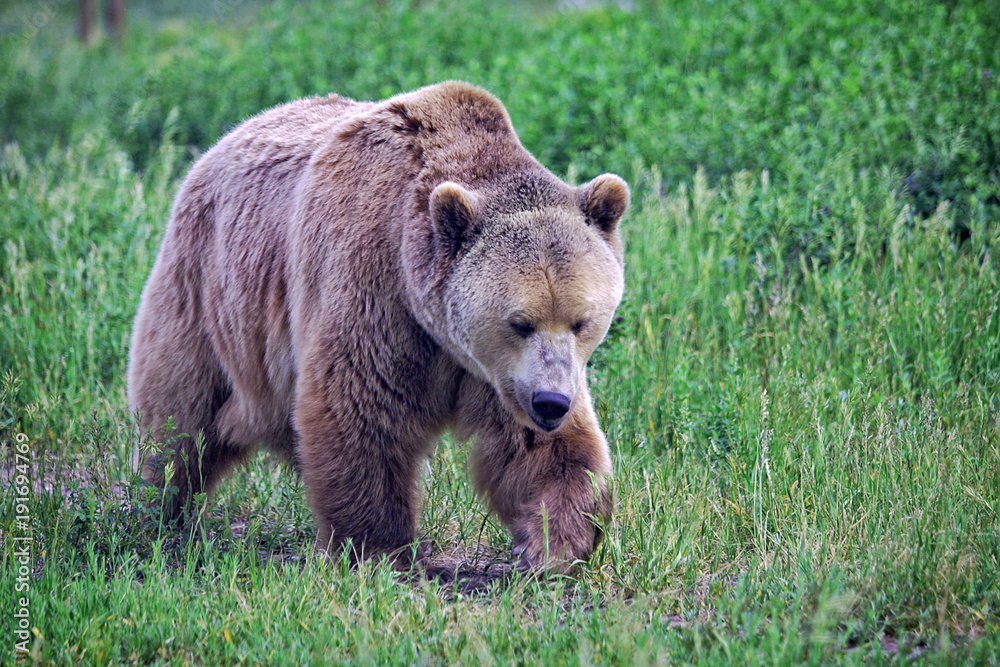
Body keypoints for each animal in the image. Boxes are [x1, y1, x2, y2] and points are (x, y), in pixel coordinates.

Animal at [127, 81, 629, 573]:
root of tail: (227, 138)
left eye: (581, 321)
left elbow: (543, 450)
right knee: (180, 411)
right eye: (519, 323)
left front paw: (552, 545)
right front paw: (381, 550)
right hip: (207, 288)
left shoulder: (496, 373)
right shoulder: (377, 288)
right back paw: (157, 508)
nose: (551, 402)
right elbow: (360, 414)